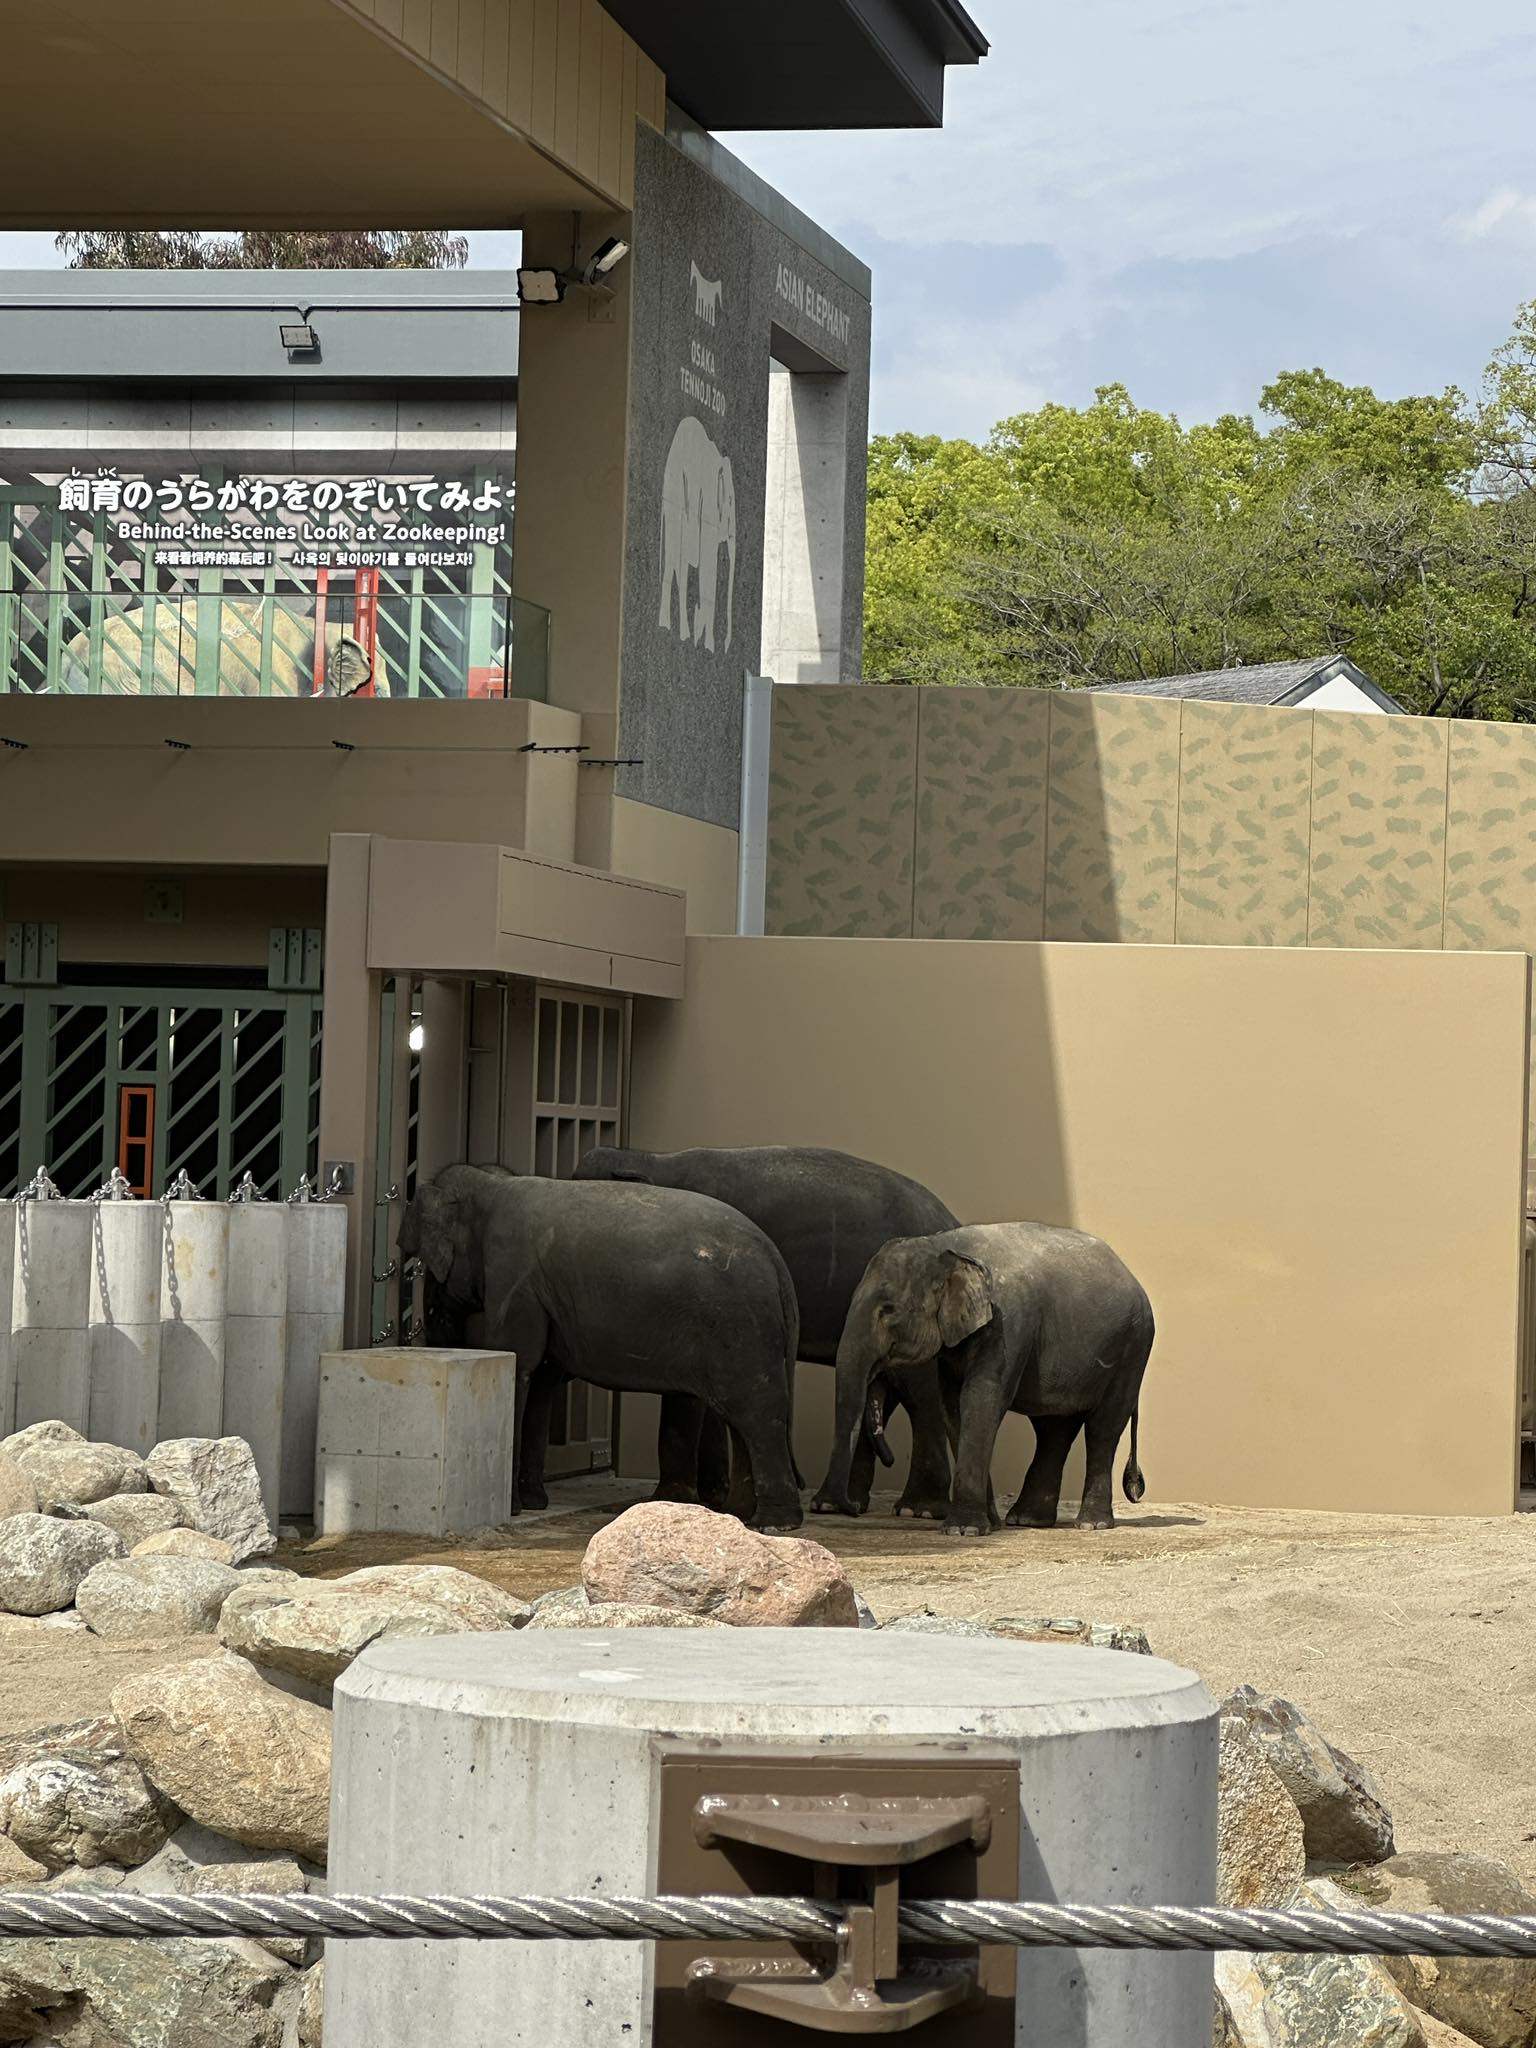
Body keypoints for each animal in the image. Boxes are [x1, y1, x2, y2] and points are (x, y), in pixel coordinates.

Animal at [399, 1163, 804, 1529]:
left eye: (426, 1266)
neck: (493, 1184)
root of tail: (775, 1261)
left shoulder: (514, 1276)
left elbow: (519, 1363)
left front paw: (514, 1509)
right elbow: (542, 1379)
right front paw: (533, 1504)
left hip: (740, 1327)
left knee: (756, 1412)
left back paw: (773, 1525)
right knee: (741, 1418)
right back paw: (741, 1516)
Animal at [573, 1143, 960, 1519]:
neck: (648, 1159)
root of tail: (950, 1217)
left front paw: (676, 1499)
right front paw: (714, 1498)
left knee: (918, 1393)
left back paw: (918, 1509)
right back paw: (840, 1505)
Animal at [657, 414, 735, 654]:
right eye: (730, 501)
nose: (726, 645)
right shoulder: (708, 500)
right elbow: (709, 567)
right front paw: (709, 645)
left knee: (673, 566)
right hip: (676, 504)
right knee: (679, 567)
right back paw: (682, 633)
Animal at [820, 1222, 1153, 1539]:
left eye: (887, 1310)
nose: (851, 1509)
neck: (944, 1244)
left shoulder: (1008, 1323)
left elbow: (981, 1398)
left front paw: (963, 1530)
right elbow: (953, 1405)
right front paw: (987, 1525)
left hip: (1133, 1348)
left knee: (1103, 1427)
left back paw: (1090, 1525)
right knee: (1054, 1428)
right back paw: (1027, 1520)